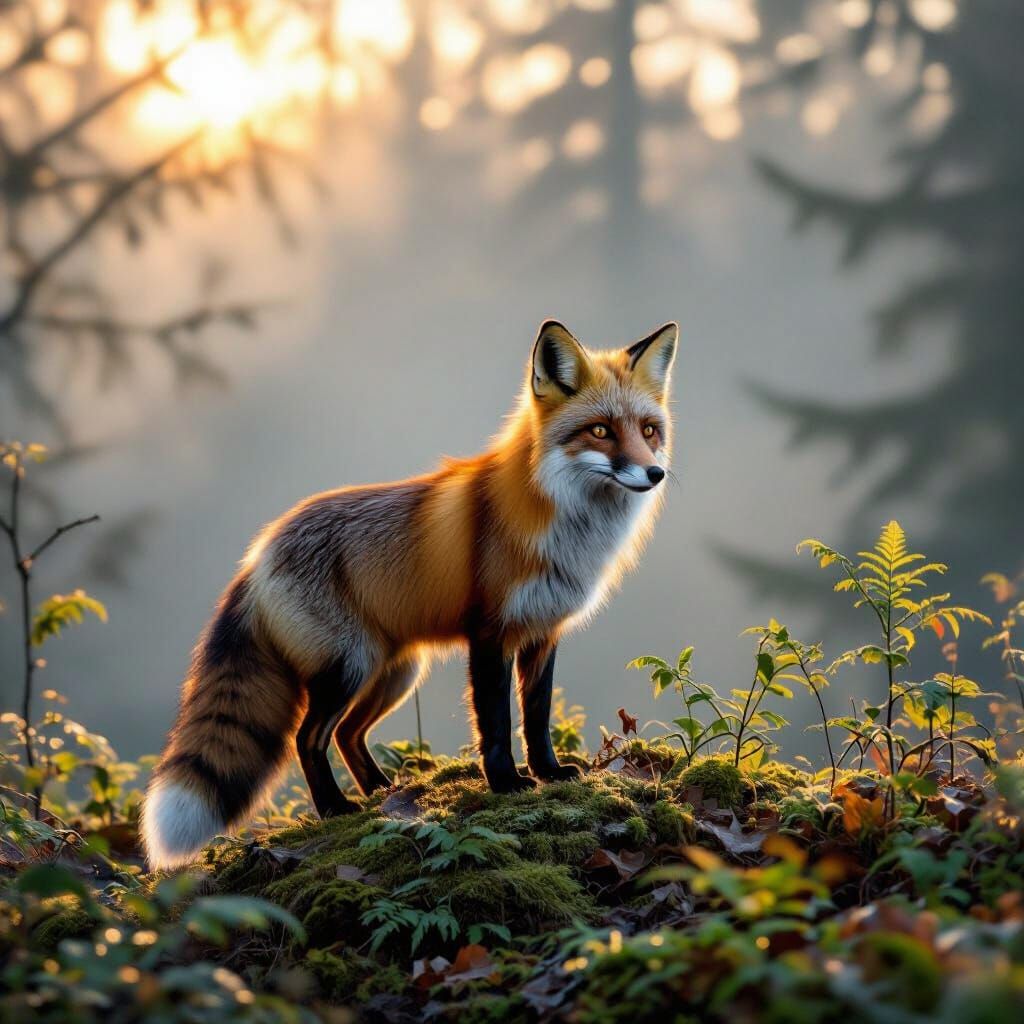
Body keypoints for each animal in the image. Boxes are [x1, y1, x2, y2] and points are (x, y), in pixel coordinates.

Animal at [142, 319, 678, 869]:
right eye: (601, 430)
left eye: (648, 431)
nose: (655, 473)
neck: (563, 524)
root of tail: (257, 553)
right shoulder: (490, 634)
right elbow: (497, 722)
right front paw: (506, 783)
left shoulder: (542, 633)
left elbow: (537, 716)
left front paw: (548, 772)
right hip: (349, 666)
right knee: (307, 738)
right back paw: (335, 808)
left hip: (393, 672)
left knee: (347, 734)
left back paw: (381, 790)